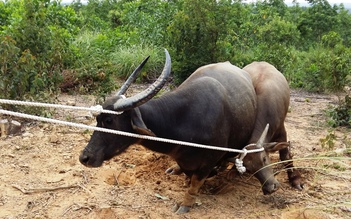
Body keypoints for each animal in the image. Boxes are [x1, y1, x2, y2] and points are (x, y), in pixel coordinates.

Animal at [79, 50, 284, 214]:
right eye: (97, 119)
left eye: (109, 121)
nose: (85, 157)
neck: (185, 120)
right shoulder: (183, 158)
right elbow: (188, 175)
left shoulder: (207, 162)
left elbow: (195, 184)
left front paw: (186, 204)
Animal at [243, 61, 304, 190]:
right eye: (249, 168)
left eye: (264, 159)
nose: (269, 189)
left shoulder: (282, 132)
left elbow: (286, 157)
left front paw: (295, 179)